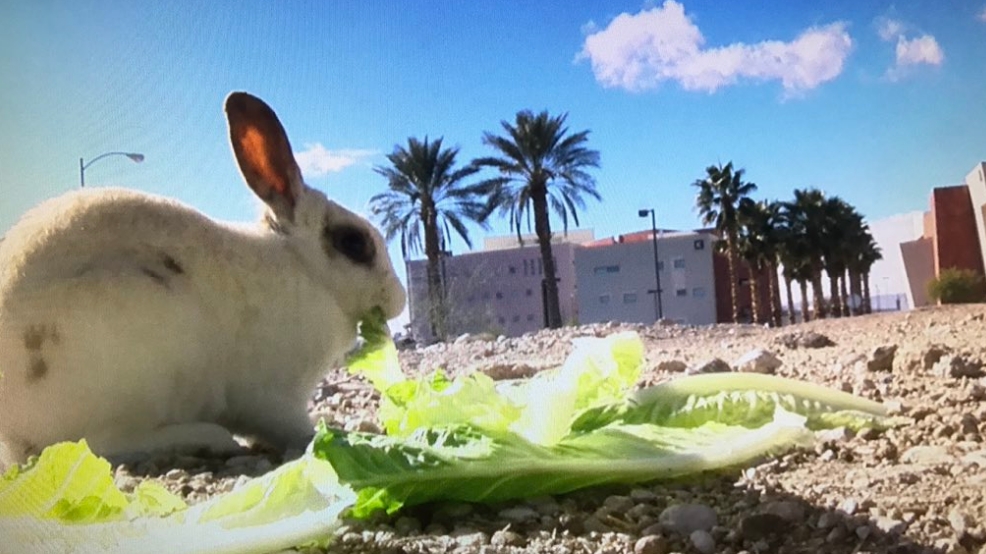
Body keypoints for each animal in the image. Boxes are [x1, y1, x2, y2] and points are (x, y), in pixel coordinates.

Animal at [0, 92, 406, 468]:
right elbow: (291, 426)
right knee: (96, 444)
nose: (399, 299)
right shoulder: (273, 400)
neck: (305, 268)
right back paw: (208, 440)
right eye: (354, 243)